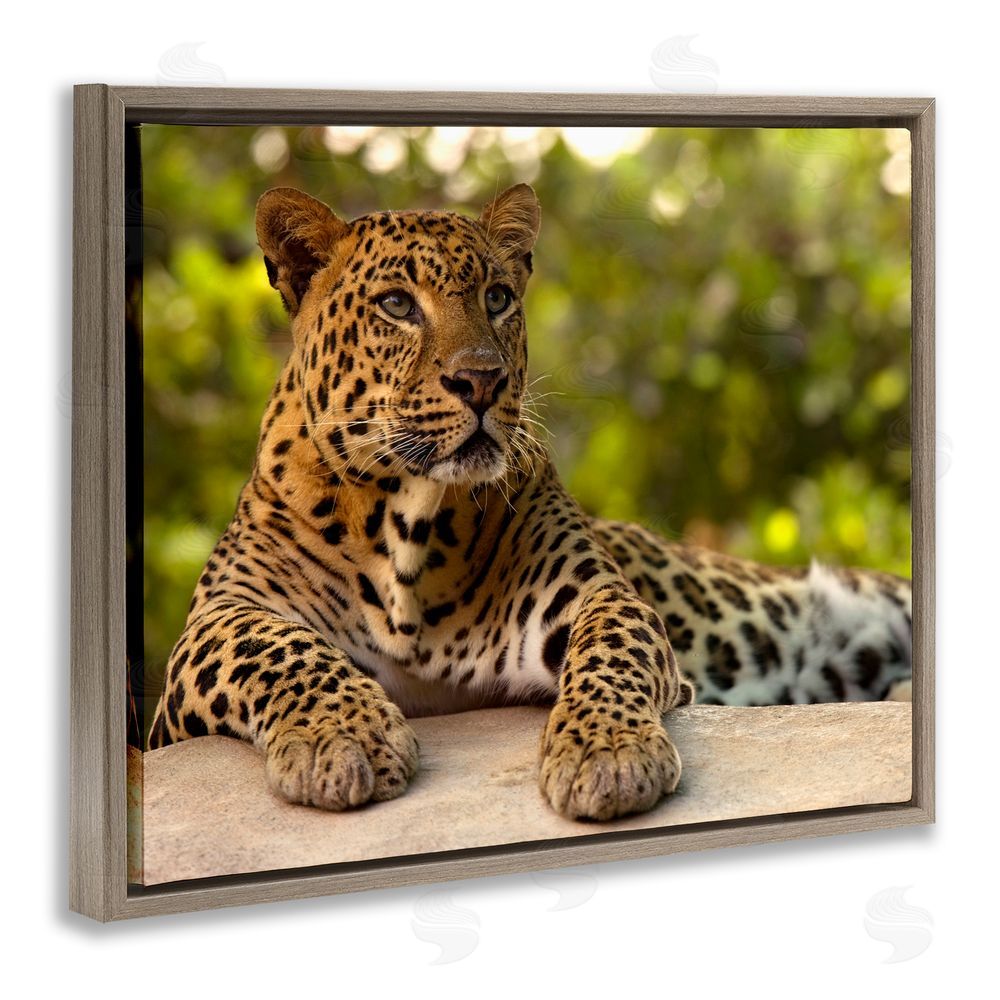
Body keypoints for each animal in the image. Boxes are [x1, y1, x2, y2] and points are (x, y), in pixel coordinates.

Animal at [148, 183, 912, 821]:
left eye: (497, 298)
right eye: (397, 305)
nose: (481, 381)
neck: (406, 520)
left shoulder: (591, 594)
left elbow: (612, 648)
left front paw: (607, 754)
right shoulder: (208, 633)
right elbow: (277, 647)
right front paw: (343, 738)